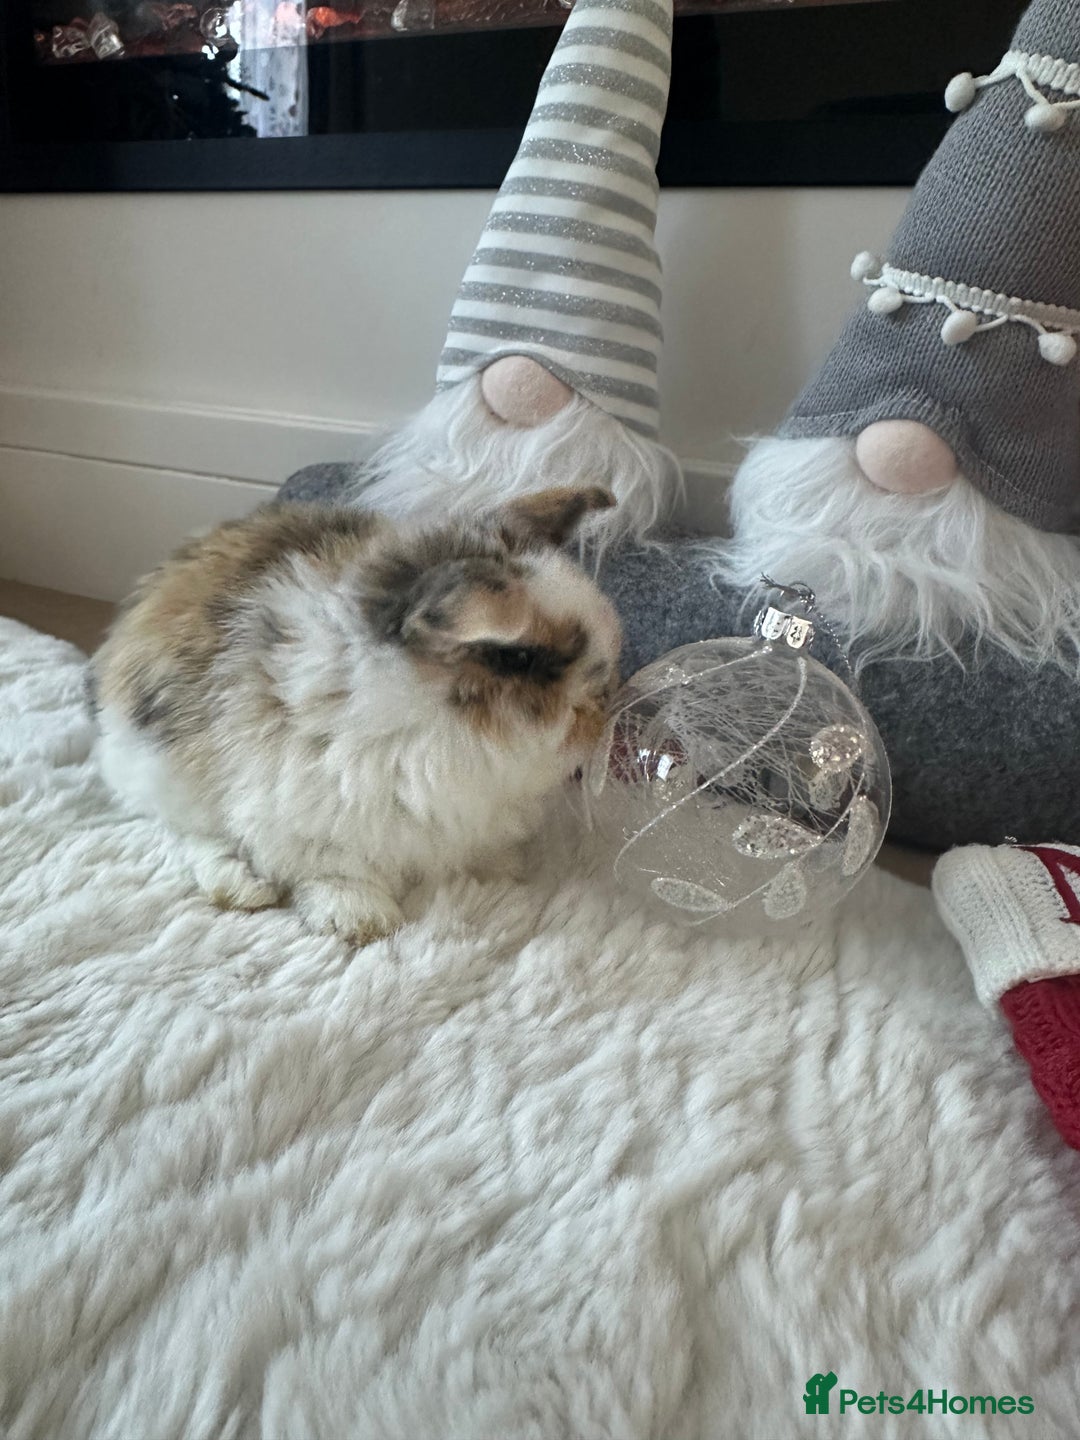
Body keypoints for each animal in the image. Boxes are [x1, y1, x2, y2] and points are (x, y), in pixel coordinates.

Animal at [90, 487, 621, 946]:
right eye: (520, 660)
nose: (603, 705)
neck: (434, 724)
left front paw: (502, 872)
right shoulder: (310, 819)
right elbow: (335, 869)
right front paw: (361, 920)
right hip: (161, 770)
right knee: (185, 834)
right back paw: (243, 887)